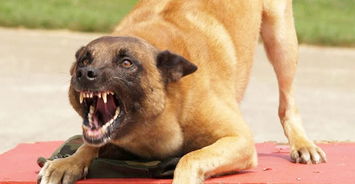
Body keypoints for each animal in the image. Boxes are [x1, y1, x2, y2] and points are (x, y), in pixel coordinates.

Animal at [37, 0, 326, 184]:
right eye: (84, 60)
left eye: (127, 63)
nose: (85, 73)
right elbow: (88, 145)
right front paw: (67, 163)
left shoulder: (240, 140)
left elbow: (190, 158)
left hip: (281, 40)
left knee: (287, 103)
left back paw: (302, 144)